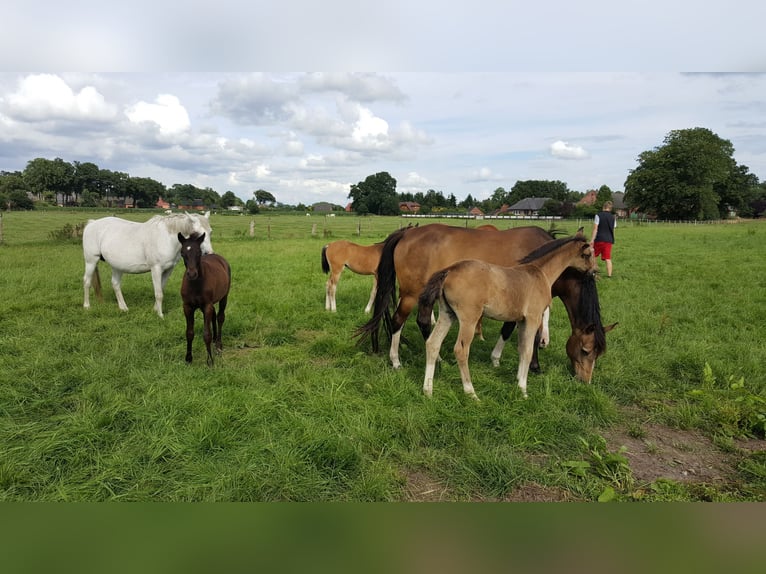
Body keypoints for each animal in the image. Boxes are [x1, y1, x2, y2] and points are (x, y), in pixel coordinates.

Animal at [82, 212, 213, 318]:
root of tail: (91, 224)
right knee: (87, 282)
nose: (209, 253)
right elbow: (159, 293)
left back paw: (123, 308)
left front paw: (155, 310)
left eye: (210, 232)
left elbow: (161, 289)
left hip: (117, 266)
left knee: (115, 284)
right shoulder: (156, 269)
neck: (166, 238)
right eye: (197, 233)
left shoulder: (168, 270)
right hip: (91, 261)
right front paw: (160, 315)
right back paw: (87, 306)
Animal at [178, 233, 231, 365]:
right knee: (213, 315)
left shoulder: (206, 305)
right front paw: (188, 358)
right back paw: (214, 340)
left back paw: (218, 345)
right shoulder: (187, 307)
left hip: (224, 296)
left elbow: (206, 334)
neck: (195, 284)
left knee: (220, 317)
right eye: (182, 253)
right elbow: (189, 332)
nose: (192, 274)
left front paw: (210, 361)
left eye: (199, 252)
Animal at [356, 223, 614, 382]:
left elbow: (509, 329)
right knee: (398, 321)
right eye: (586, 350)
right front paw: (532, 366)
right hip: (411, 294)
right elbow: (525, 333)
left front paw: (497, 358)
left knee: (423, 323)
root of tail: (407, 234)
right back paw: (396, 361)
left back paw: (437, 358)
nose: (584, 380)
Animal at [419, 230, 598, 400]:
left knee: (432, 343)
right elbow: (528, 351)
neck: (541, 273)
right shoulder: (533, 318)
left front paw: (518, 380)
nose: (595, 271)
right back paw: (471, 393)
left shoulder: (522, 320)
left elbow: (521, 348)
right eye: (588, 254)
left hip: (447, 314)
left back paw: (428, 391)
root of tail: (449, 270)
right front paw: (523, 390)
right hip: (469, 319)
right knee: (461, 350)